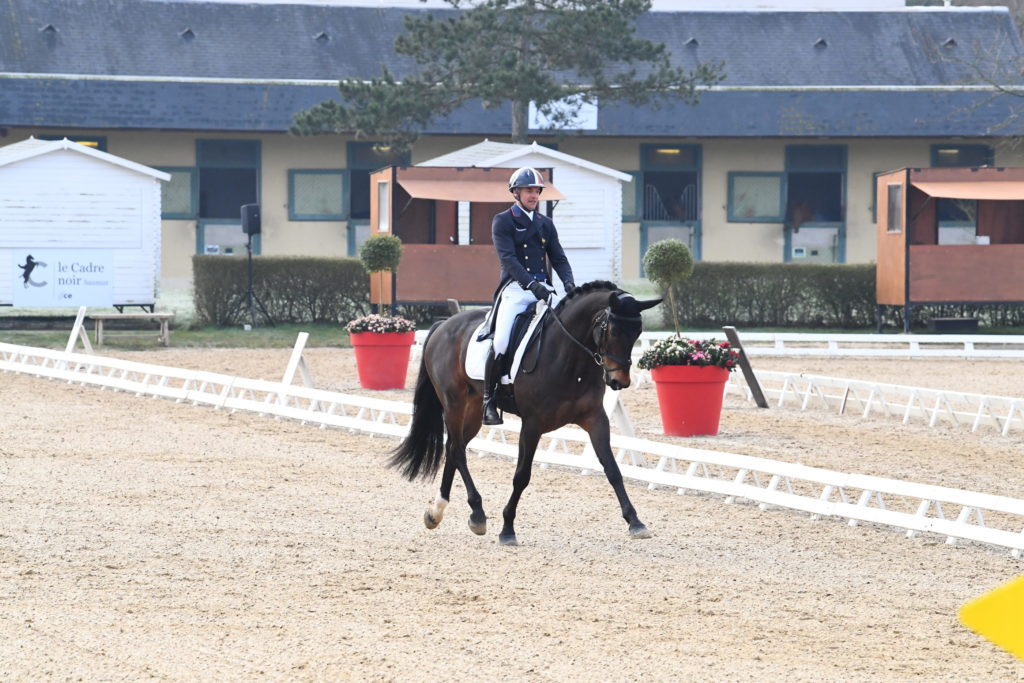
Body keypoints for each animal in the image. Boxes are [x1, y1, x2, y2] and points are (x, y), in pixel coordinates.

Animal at [387, 282, 659, 544]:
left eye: (637, 333)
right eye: (613, 331)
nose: (619, 381)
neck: (569, 358)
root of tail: (444, 324)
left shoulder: (595, 419)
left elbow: (613, 470)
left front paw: (636, 522)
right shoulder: (532, 424)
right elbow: (521, 476)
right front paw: (507, 529)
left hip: (473, 410)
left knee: (455, 447)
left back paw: (437, 512)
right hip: (454, 403)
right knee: (457, 450)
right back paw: (477, 513)